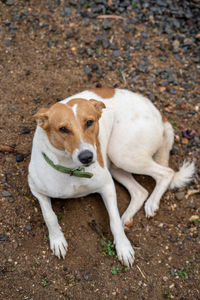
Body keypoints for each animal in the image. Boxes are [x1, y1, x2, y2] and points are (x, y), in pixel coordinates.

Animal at [27, 88, 194, 266]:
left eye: (89, 122)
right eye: (63, 129)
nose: (87, 157)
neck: (73, 170)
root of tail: (159, 113)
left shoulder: (107, 186)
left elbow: (113, 220)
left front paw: (123, 247)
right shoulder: (36, 189)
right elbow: (49, 216)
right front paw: (57, 240)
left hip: (121, 154)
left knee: (166, 173)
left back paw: (152, 203)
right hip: (116, 164)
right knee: (140, 191)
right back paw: (126, 217)